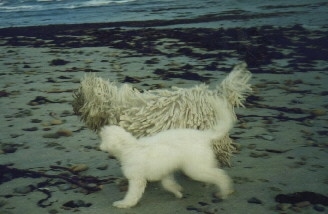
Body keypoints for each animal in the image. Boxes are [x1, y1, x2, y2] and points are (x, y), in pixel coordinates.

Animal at [98, 96, 234, 208]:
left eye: (103, 138)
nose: (99, 147)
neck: (130, 147)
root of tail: (204, 135)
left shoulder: (137, 179)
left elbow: (132, 194)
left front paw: (124, 204)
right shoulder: (164, 170)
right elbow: (168, 184)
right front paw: (178, 192)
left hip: (195, 168)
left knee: (220, 175)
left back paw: (224, 191)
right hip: (201, 163)